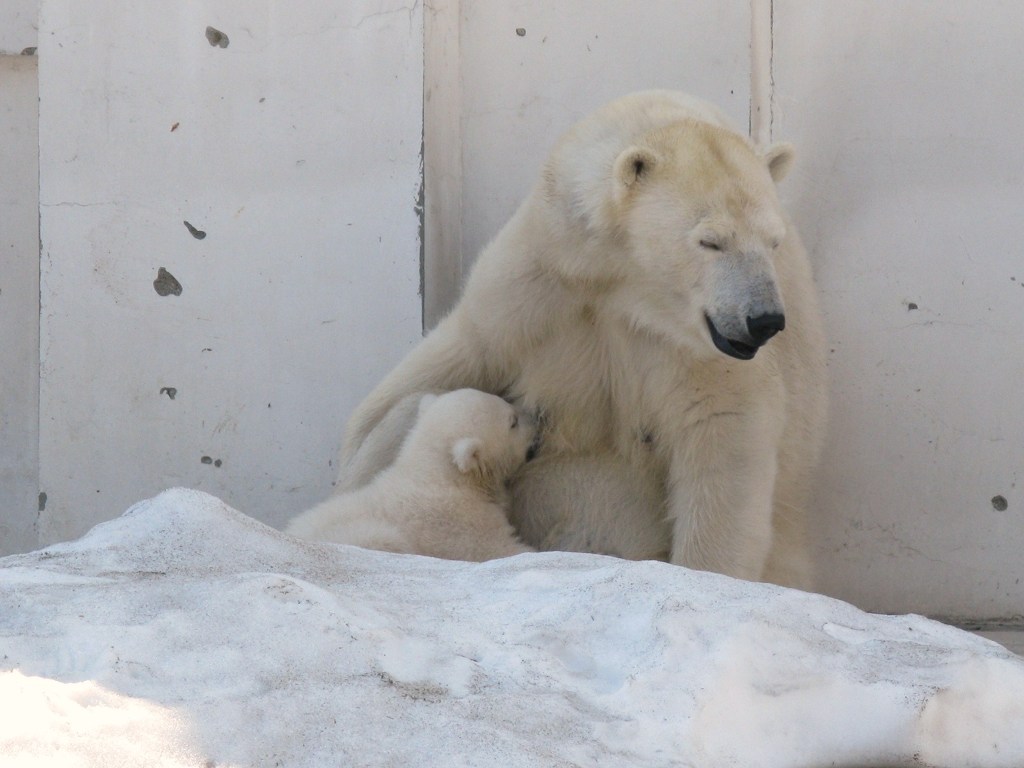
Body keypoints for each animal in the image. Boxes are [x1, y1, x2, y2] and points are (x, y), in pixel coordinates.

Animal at [284, 391, 532, 561]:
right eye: (513, 422)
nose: (535, 417)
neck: (434, 475)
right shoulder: (460, 522)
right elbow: (496, 549)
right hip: (365, 535)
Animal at [339, 90, 827, 589]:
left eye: (774, 242)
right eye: (710, 241)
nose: (763, 320)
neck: (622, 283)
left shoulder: (690, 348)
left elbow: (724, 436)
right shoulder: (537, 283)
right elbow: (452, 357)